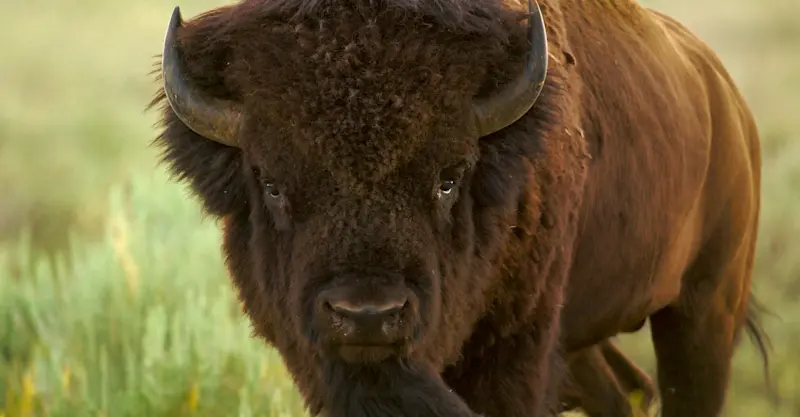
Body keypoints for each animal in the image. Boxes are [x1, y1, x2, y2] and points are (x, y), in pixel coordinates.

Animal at [149, 0, 770, 416]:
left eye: (449, 179)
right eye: (273, 184)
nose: (367, 315)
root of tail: (727, 100)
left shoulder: (516, 351)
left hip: (705, 308)